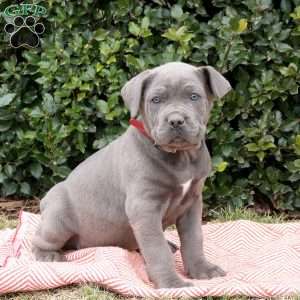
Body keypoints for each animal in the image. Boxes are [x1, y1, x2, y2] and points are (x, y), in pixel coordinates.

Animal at [34, 61, 233, 288]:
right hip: (57, 220)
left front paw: (202, 270)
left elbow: (194, 239)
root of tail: (45, 200)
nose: (175, 120)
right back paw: (48, 255)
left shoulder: (192, 203)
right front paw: (171, 283)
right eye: (156, 100)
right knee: (39, 239)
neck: (180, 157)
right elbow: (157, 249)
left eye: (194, 96)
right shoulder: (144, 208)